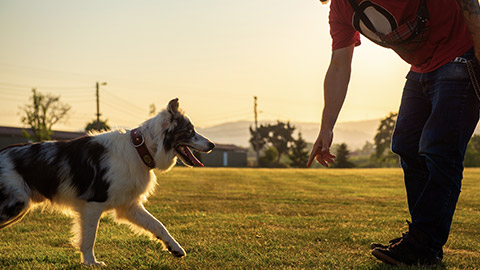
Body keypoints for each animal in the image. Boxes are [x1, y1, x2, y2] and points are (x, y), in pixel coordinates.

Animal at [0, 98, 214, 266]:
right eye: (190, 131)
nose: (212, 145)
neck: (141, 149)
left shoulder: (129, 205)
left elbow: (158, 225)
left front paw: (174, 248)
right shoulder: (93, 204)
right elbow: (89, 239)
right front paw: (91, 262)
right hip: (15, 205)